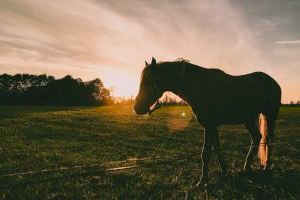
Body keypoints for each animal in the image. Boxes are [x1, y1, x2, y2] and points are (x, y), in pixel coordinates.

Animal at [134, 57, 282, 185]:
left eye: (150, 82)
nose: (137, 108)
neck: (201, 87)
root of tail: (273, 81)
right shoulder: (210, 126)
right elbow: (216, 149)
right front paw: (224, 173)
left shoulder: (210, 125)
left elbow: (205, 153)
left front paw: (203, 181)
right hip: (248, 120)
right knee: (257, 137)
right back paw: (247, 167)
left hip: (270, 116)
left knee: (269, 140)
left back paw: (266, 167)